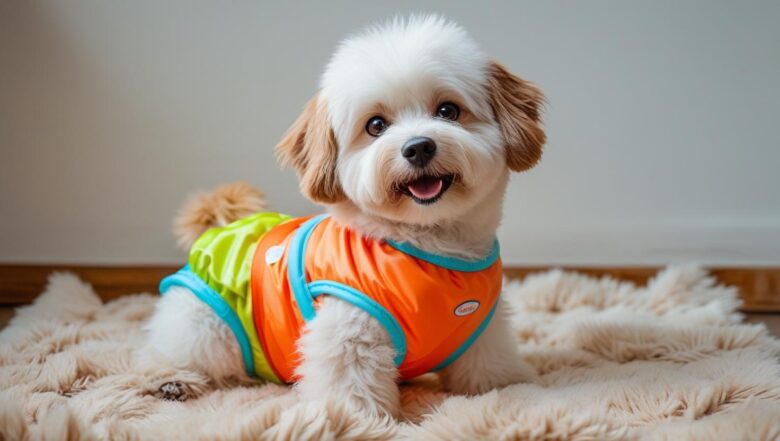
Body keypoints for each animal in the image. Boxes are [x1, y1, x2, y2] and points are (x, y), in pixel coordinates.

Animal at [142, 15, 545, 417]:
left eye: (448, 111)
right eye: (376, 125)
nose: (418, 147)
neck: (426, 245)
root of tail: (223, 226)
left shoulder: (482, 327)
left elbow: (486, 366)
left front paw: (509, 391)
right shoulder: (349, 323)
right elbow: (349, 376)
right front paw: (352, 417)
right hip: (206, 320)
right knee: (175, 349)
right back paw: (172, 381)